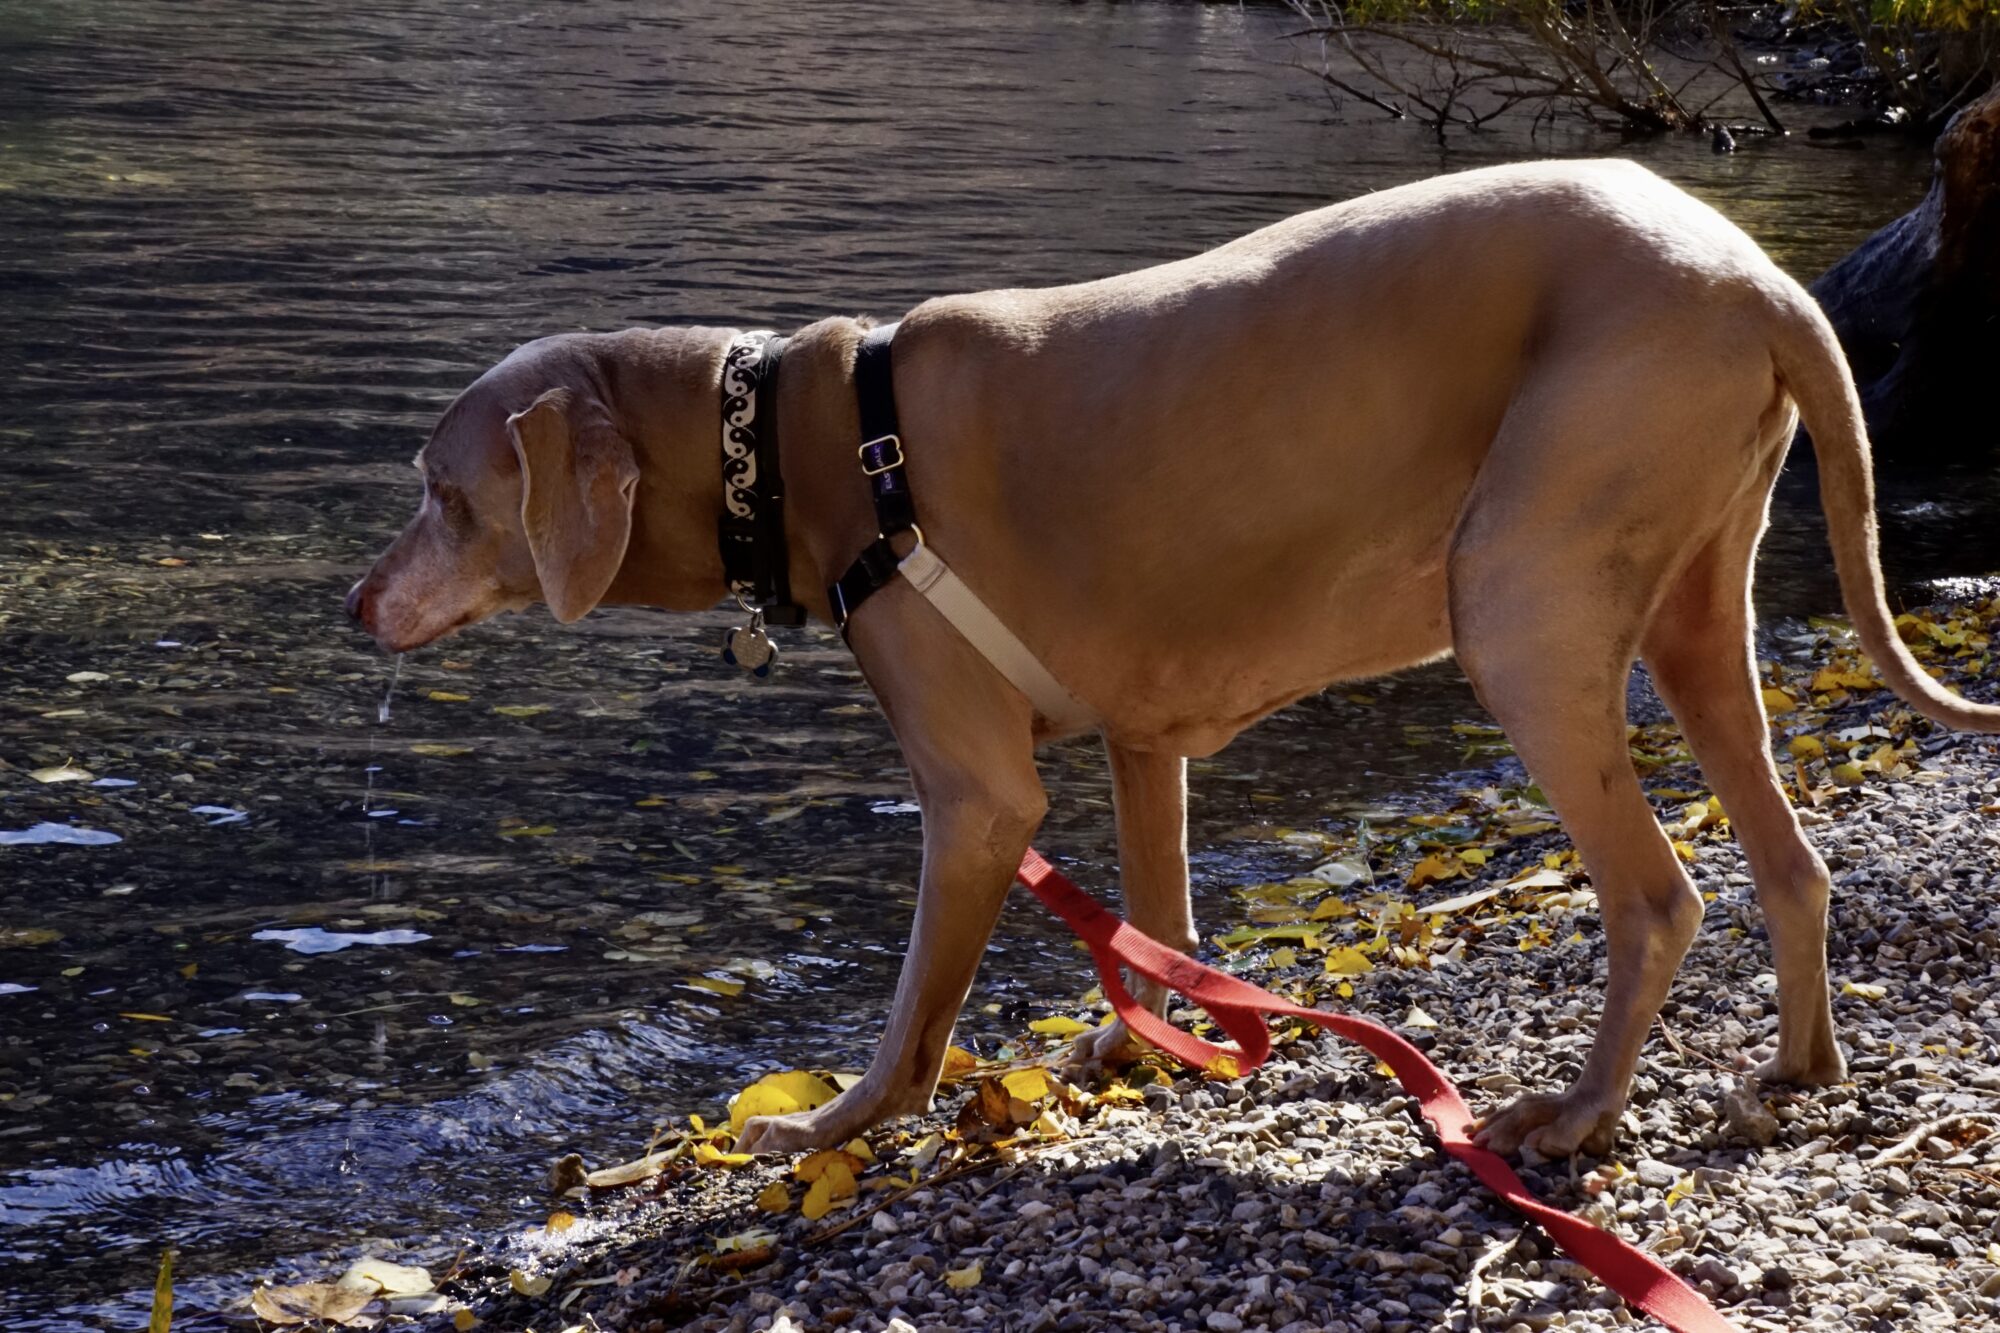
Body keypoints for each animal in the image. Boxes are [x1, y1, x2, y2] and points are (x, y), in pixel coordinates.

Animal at [348, 158, 2000, 1152]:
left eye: (438, 491)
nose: (356, 605)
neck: (800, 436)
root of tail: (1760, 277)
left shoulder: (979, 800)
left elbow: (917, 1016)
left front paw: (828, 1129)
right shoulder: (1145, 739)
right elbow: (1161, 919)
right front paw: (1140, 1050)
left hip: (1522, 597)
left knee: (1659, 892)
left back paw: (1577, 1113)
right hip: (1694, 607)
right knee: (1792, 859)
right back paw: (1798, 1070)